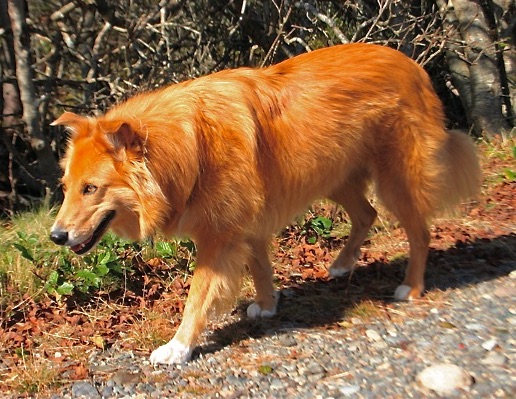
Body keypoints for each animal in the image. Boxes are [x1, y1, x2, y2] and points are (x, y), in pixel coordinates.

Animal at [49, 43, 480, 366]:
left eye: (91, 189)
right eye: (66, 187)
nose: (55, 236)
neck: (185, 148)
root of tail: (415, 66)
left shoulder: (218, 238)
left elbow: (197, 297)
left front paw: (178, 347)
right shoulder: (245, 224)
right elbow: (259, 266)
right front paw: (267, 304)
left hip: (393, 178)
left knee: (419, 230)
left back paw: (412, 286)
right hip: (332, 175)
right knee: (367, 214)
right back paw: (343, 264)